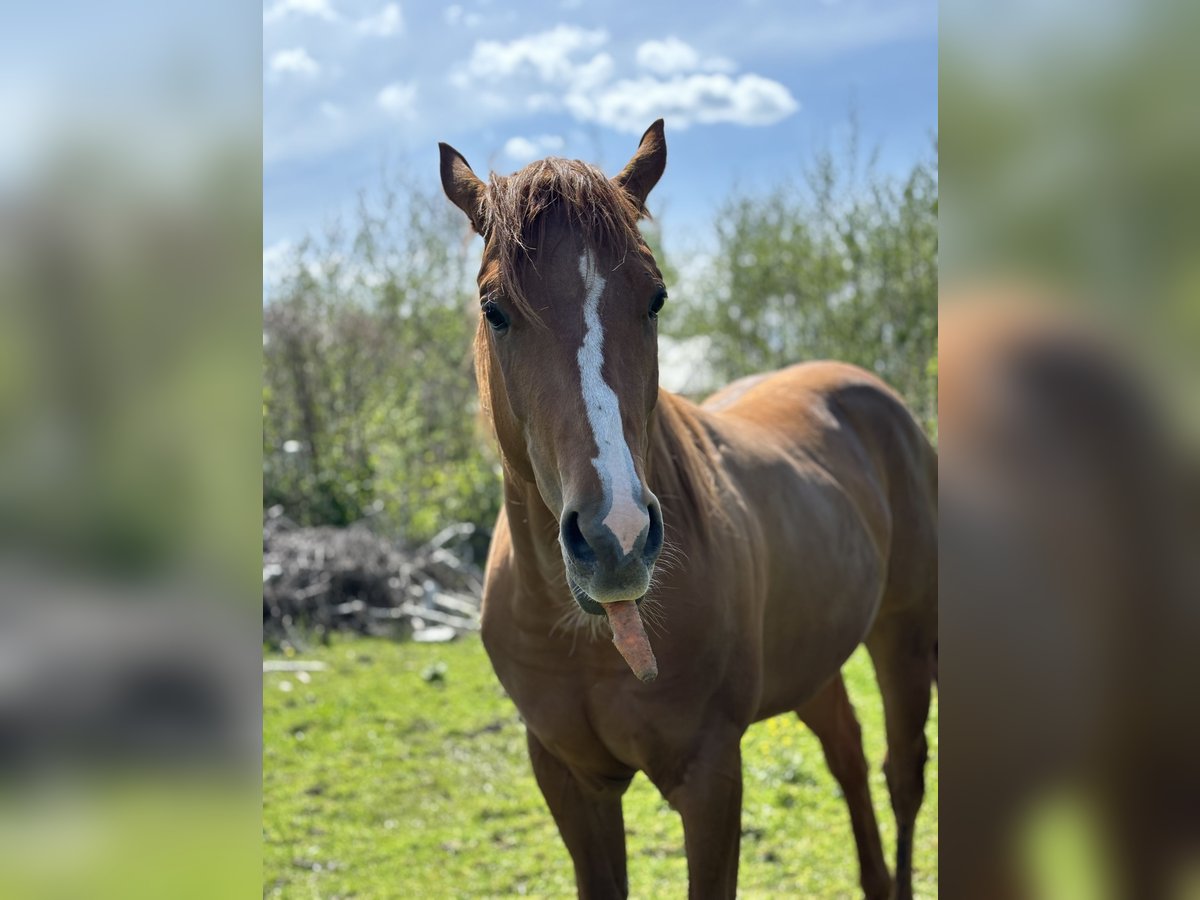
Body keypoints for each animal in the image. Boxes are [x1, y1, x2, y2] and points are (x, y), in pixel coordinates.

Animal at [441, 121, 936, 900]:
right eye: (495, 310)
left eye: (656, 298)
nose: (617, 539)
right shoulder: (569, 779)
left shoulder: (710, 778)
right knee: (850, 755)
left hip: (905, 634)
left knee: (903, 775)